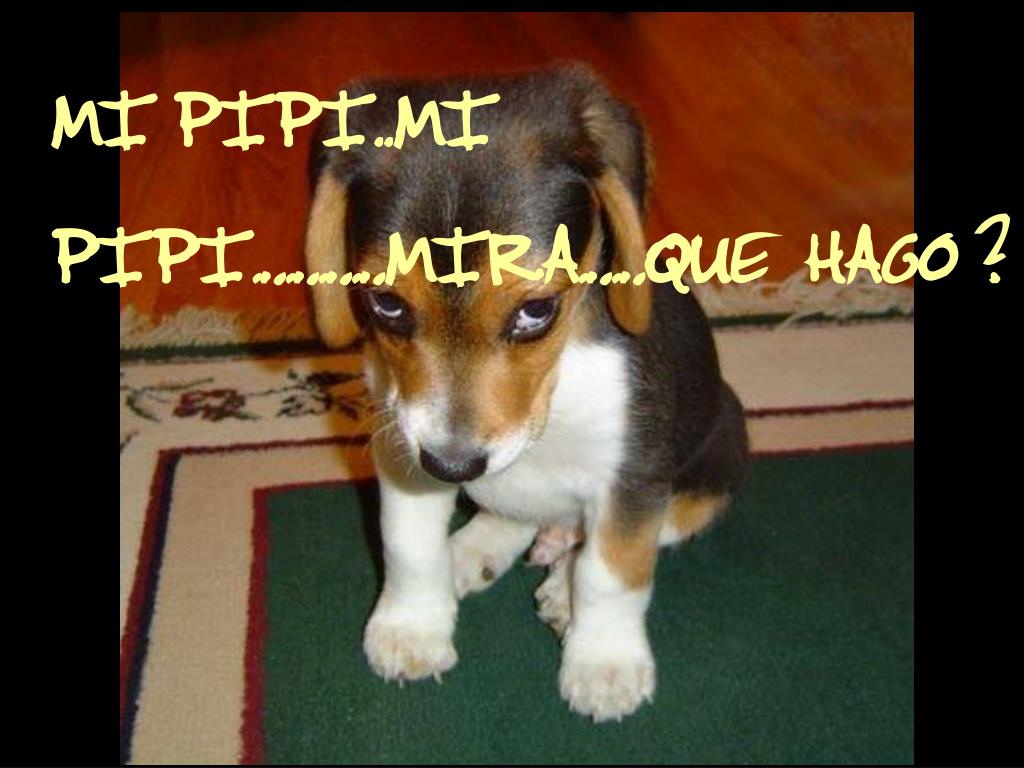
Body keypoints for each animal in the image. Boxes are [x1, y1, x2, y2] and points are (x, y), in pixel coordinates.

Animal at [305, 64, 749, 722]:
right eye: (386, 303)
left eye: (536, 311)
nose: (452, 465)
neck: (554, 389)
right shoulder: (402, 442)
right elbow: (408, 546)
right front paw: (412, 629)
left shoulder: (634, 474)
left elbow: (611, 572)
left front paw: (604, 664)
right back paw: (473, 549)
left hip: (720, 449)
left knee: (641, 531)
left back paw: (561, 583)